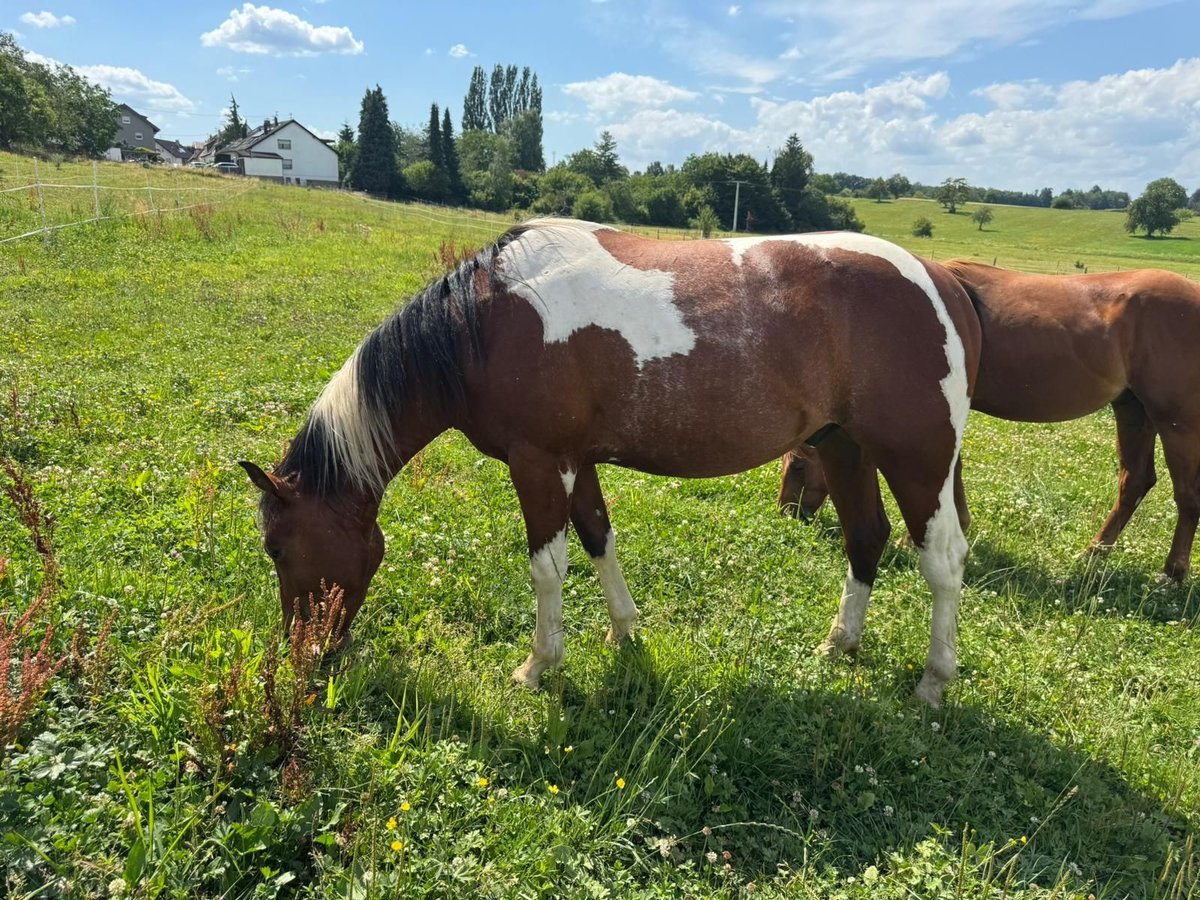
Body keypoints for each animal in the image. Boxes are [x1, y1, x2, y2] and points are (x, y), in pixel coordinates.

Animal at [241, 219, 982, 705]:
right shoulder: (577, 460)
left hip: (916, 460)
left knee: (943, 562)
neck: (485, 323)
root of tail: (942, 281)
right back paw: (839, 644)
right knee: (866, 539)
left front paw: (539, 666)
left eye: (278, 549)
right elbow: (599, 535)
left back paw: (934, 680)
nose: (305, 656)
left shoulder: (538, 462)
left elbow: (548, 565)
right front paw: (624, 632)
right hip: (842, 446)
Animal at [779, 261, 1200, 581]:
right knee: (1135, 482)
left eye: (797, 467)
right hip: (1133, 410)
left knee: (1187, 495)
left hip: (1176, 423)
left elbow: (950, 470)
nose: (788, 513)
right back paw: (1095, 552)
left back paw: (1172, 573)